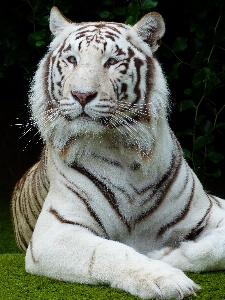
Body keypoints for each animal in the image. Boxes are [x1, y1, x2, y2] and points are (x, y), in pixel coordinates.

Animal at [11, 7, 225, 300]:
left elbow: (217, 247)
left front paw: (167, 255)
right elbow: (109, 252)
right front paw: (165, 278)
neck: (127, 153)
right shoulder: (54, 232)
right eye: (72, 59)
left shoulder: (212, 212)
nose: (81, 95)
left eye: (111, 61)